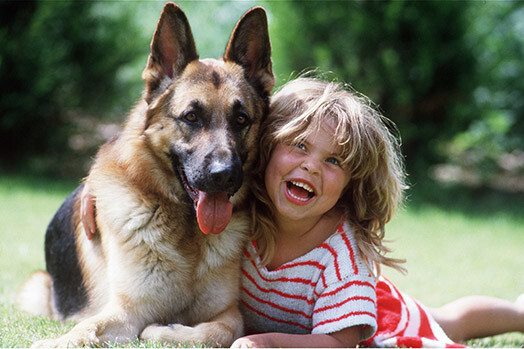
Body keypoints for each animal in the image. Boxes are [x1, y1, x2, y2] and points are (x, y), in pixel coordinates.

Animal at [17, 2, 274, 346]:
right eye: (191, 117)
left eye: (242, 119)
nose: (225, 175)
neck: (187, 233)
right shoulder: (125, 312)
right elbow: (85, 329)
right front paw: (58, 341)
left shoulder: (229, 313)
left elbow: (212, 332)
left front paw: (165, 329)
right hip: (35, 288)